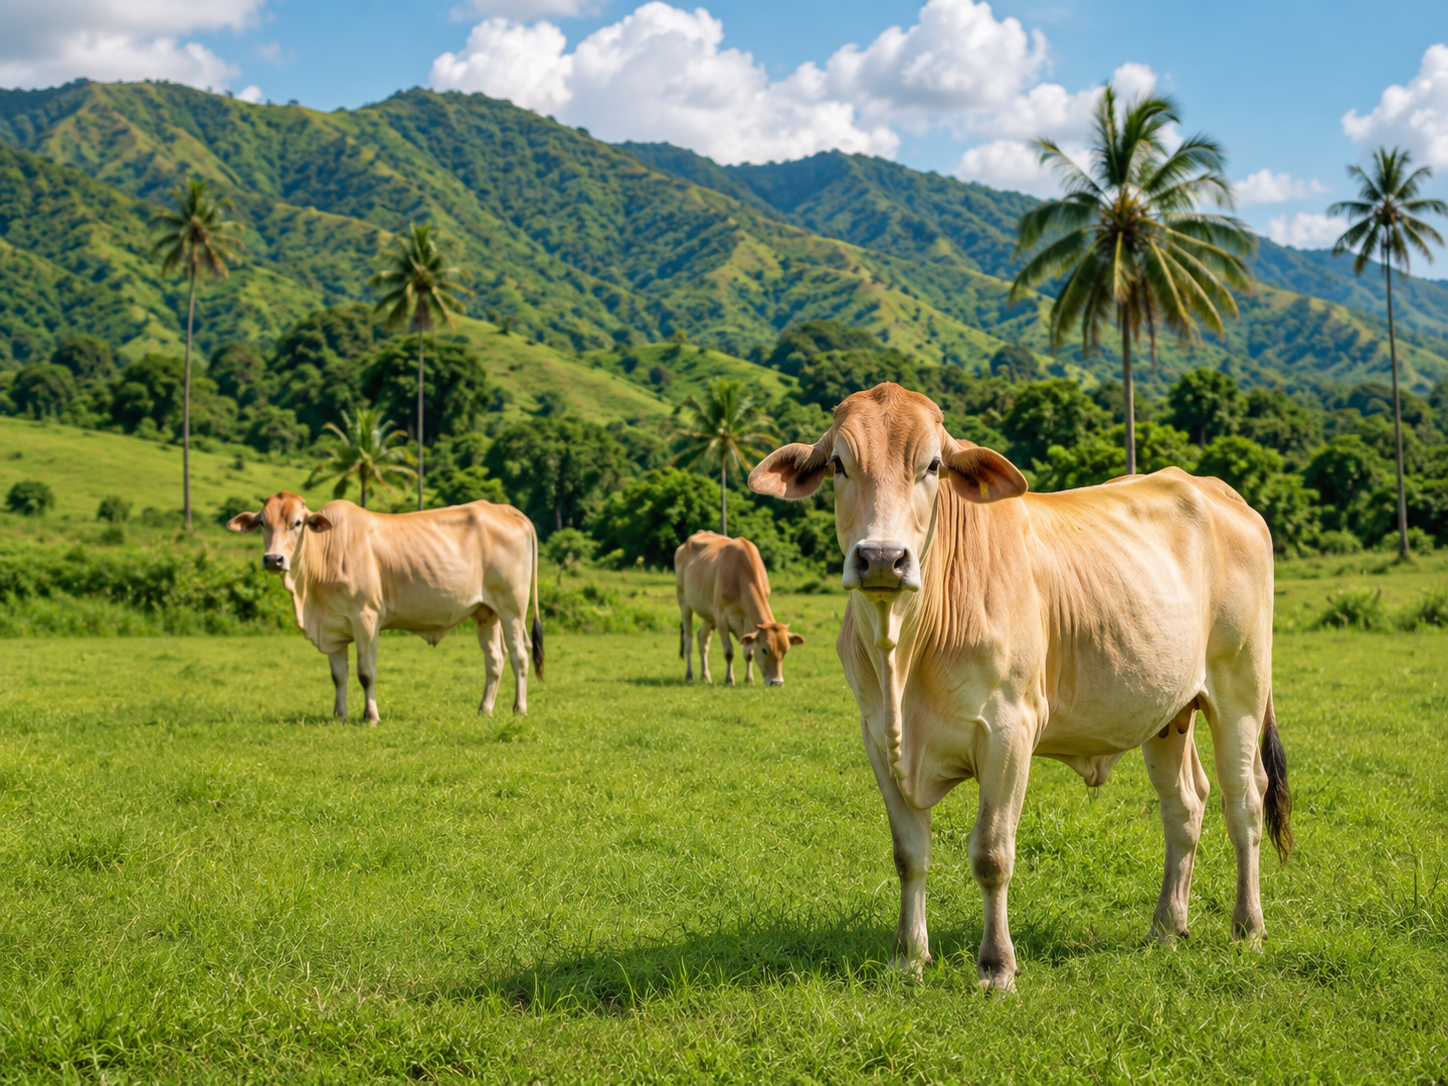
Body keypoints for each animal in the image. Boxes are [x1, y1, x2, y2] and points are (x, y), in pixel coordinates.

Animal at [227, 492, 543, 723]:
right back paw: (484, 710)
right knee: (495, 659)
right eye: (263, 523)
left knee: (519, 654)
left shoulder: (366, 619)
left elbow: (365, 672)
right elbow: (338, 676)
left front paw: (371, 716)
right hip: (485, 612)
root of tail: (503, 509)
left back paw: (520, 708)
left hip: (513, 608)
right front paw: (340, 716)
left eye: (297, 523)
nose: (273, 559)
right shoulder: (333, 627)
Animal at [675, 531, 804, 686]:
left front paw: (749, 680)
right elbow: (729, 652)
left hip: (707, 613)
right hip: (684, 602)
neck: (740, 575)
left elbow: (749, 653)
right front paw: (729, 680)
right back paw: (689, 675)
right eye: (765, 650)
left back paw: (706, 676)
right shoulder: (720, 617)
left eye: (786, 651)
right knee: (688, 639)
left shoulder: (748, 621)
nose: (777, 682)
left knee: (703, 640)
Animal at [749, 383, 1292, 991]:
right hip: (1168, 711)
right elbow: (908, 854)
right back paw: (1166, 927)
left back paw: (1248, 927)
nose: (881, 559)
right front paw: (908, 957)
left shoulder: (1010, 730)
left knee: (1244, 801)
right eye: (840, 464)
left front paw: (996, 967)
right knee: (1185, 805)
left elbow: (991, 854)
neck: (903, 653)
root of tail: (1219, 491)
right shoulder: (876, 737)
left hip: (1241, 688)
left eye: (932, 465)